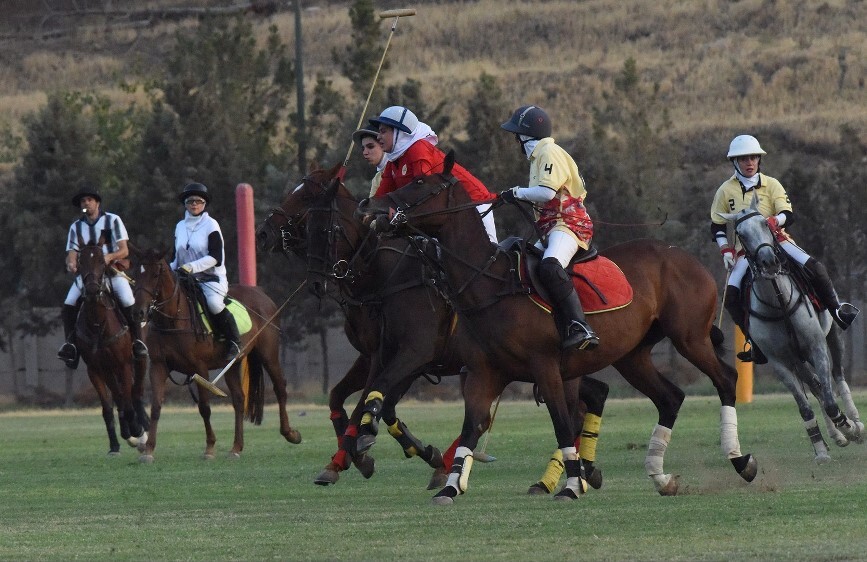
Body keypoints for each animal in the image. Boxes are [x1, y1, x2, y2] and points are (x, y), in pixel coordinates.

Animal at [76, 243, 149, 452]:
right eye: (80, 261)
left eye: (102, 261)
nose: (92, 290)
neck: (98, 325)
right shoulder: (96, 369)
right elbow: (109, 407)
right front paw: (116, 444)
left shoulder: (124, 364)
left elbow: (128, 400)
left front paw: (138, 432)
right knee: (121, 397)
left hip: (138, 360)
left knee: (136, 392)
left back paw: (144, 426)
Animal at [130, 244, 302, 460]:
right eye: (136, 274)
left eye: (155, 274)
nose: (139, 312)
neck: (173, 319)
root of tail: (263, 296)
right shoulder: (159, 367)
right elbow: (155, 407)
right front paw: (149, 449)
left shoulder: (199, 368)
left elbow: (204, 407)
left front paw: (210, 448)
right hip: (233, 364)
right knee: (239, 399)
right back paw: (236, 447)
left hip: (268, 354)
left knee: (280, 387)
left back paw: (290, 433)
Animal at [258, 164, 612, 492]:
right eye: (309, 225)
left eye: (305, 201)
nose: (263, 233)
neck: (386, 275)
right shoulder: (377, 354)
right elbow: (348, 399)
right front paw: (356, 457)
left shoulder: (413, 353)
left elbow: (368, 403)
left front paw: (358, 454)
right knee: (592, 394)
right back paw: (584, 470)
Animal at [356, 150, 756, 504]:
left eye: (420, 183)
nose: (368, 208)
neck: (489, 284)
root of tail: (689, 259)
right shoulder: (485, 373)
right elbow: (471, 427)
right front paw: (450, 487)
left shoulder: (545, 367)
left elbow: (562, 423)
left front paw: (572, 486)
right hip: (633, 355)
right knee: (670, 397)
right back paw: (661, 476)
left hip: (689, 337)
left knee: (725, 379)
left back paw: (740, 460)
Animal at [720, 203, 860, 462]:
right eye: (741, 234)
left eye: (765, 224)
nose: (769, 261)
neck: (778, 303)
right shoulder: (780, 362)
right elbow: (805, 407)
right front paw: (821, 450)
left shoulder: (816, 347)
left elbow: (830, 401)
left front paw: (851, 429)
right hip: (798, 360)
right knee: (816, 387)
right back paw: (835, 437)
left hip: (832, 336)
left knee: (837, 375)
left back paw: (855, 422)